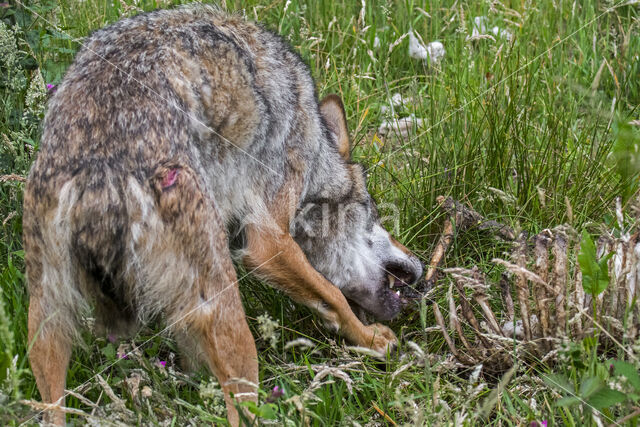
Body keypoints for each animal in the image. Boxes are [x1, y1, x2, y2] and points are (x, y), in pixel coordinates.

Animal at [23, 5, 424, 426]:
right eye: (374, 212)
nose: (422, 268)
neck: (315, 148)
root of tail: (98, 169)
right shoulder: (267, 243)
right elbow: (333, 296)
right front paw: (372, 341)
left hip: (46, 321)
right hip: (229, 319)